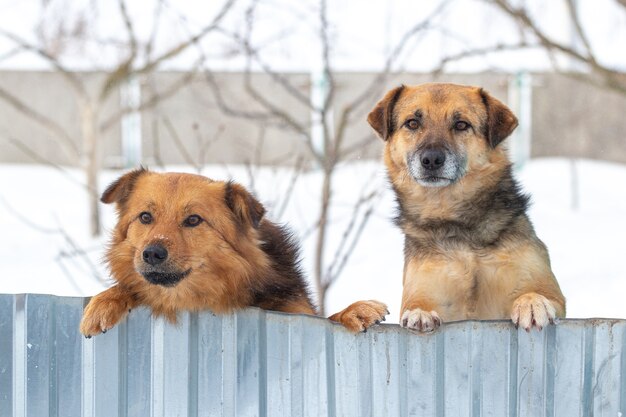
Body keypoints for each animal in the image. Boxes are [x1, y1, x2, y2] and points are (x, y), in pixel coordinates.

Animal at [78, 169, 386, 334]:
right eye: (145, 217)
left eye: (193, 220)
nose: (152, 253)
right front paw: (104, 302)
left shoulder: (297, 310)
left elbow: (326, 317)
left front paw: (353, 311)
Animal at [366, 83, 564, 332]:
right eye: (412, 123)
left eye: (461, 125)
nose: (431, 160)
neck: (458, 225)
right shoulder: (423, 287)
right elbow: (418, 304)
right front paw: (420, 313)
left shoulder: (548, 287)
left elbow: (540, 292)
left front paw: (532, 303)